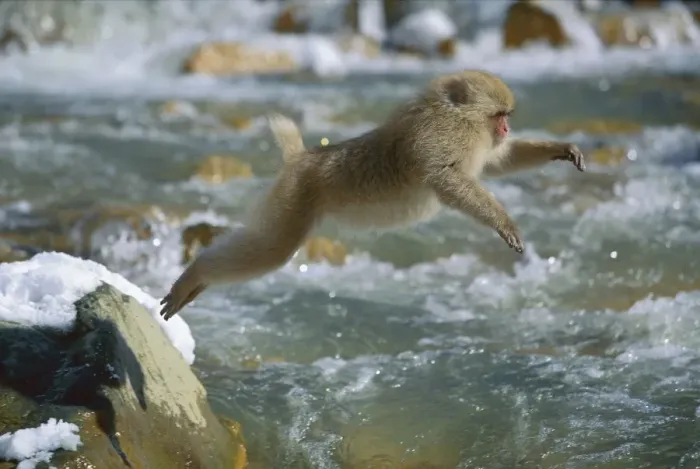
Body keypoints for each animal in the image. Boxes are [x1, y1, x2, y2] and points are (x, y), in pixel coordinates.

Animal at [159, 69, 585, 320]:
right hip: (292, 198)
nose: (507, 130)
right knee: (272, 249)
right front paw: (504, 222)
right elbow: (447, 181)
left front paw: (561, 149)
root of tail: (302, 158)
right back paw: (196, 274)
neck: (456, 115)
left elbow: (497, 162)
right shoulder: (444, 136)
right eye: (500, 116)